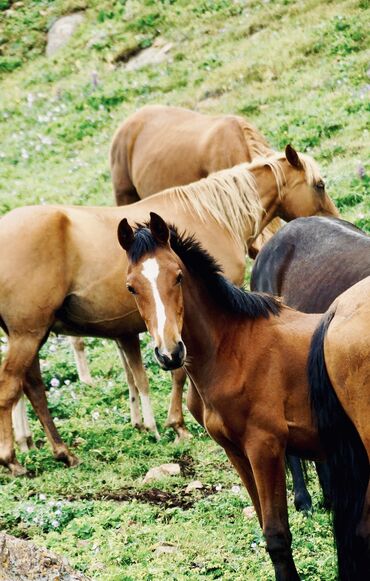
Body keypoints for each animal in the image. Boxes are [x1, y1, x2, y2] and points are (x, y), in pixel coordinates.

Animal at [0, 146, 338, 476]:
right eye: (319, 185)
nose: (334, 219)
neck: (213, 215)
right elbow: (178, 373)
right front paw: (177, 425)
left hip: (31, 334)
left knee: (32, 387)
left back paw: (55, 450)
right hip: (28, 334)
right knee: (11, 386)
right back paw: (14, 459)